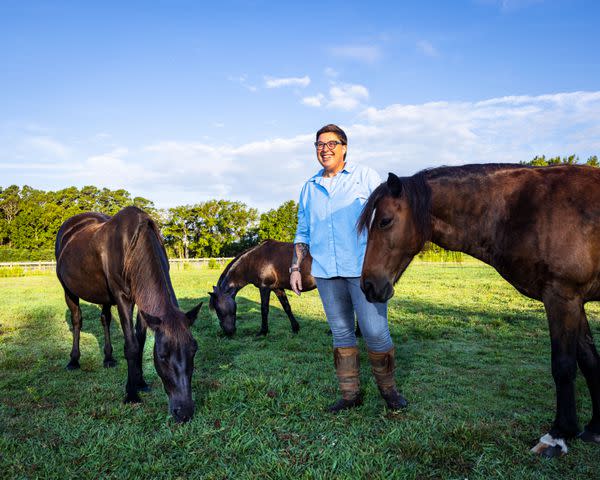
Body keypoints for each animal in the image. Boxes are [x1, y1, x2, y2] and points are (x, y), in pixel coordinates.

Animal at [55, 206, 203, 424]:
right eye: (162, 355)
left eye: (194, 349)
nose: (184, 412)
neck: (133, 247)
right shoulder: (123, 298)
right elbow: (131, 346)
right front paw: (131, 394)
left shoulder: (143, 302)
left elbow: (140, 342)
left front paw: (140, 382)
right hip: (69, 290)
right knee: (77, 320)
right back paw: (74, 361)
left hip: (104, 296)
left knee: (105, 320)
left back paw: (108, 358)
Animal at [358, 164, 600, 458]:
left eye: (385, 221)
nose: (368, 286)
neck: (525, 209)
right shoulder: (575, 301)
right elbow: (590, 361)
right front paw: (594, 429)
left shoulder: (562, 296)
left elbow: (563, 366)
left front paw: (558, 436)